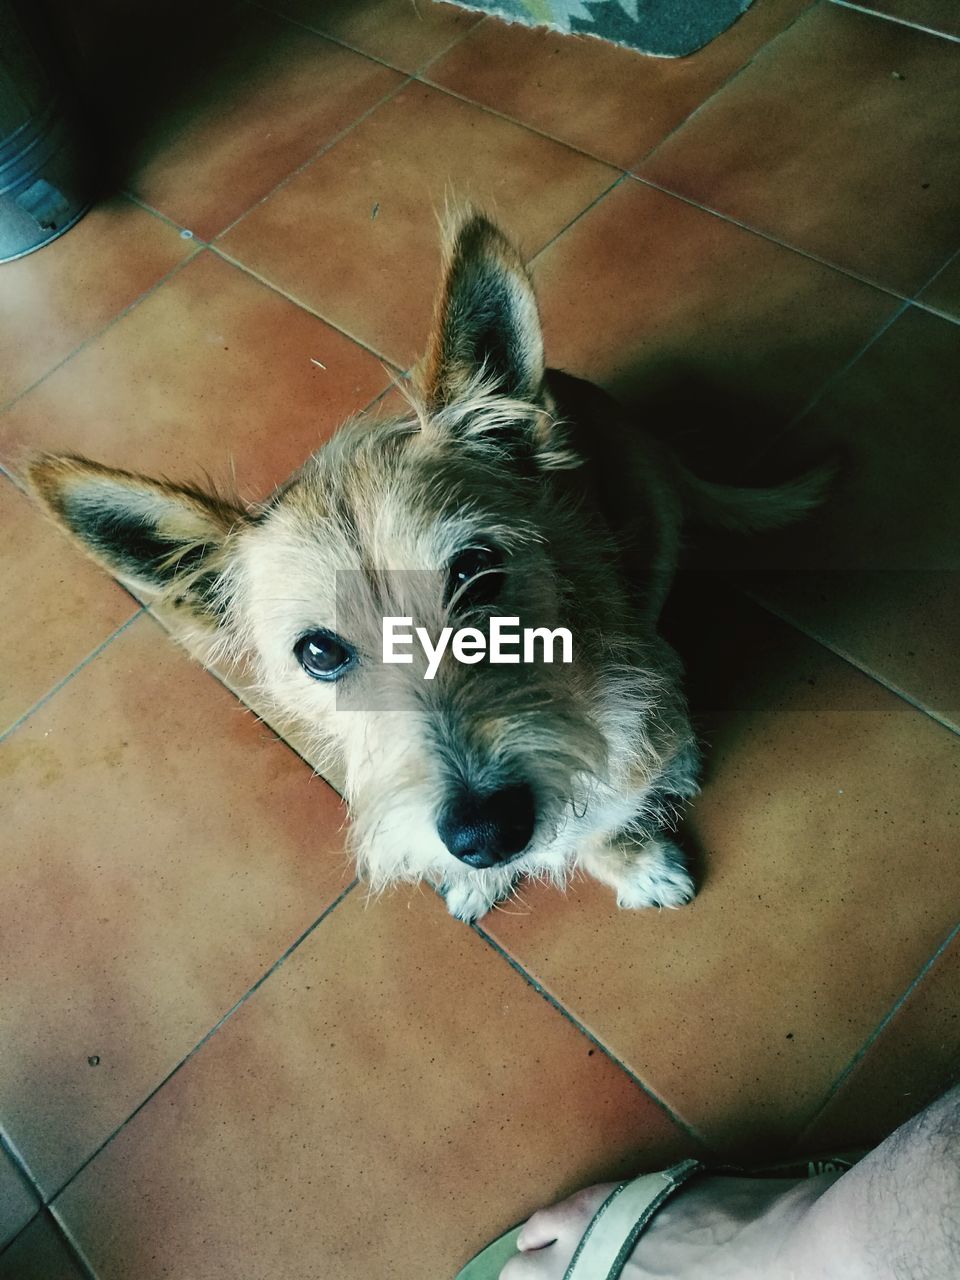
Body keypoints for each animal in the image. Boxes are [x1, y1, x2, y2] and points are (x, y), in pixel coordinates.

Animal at [30, 217, 829, 921]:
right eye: (318, 652)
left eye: (477, 574)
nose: (485, 837)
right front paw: (481, 877)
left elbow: (605, 808)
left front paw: (634, 858)